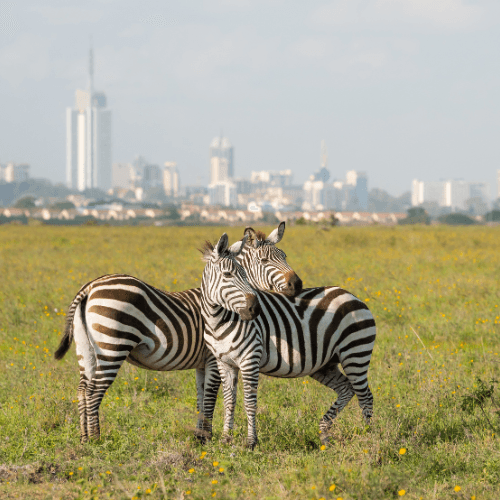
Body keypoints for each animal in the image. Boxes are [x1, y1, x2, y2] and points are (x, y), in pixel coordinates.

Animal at [54, 224, 300, 443]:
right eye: (265, 261)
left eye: (285, 256)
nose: (297, 284)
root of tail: (90, 287)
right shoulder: (213, 358)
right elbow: (210, 397)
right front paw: (207, 437)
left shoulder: (202, 363)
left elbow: (201, 398)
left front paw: (200, 436)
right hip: (112, 346)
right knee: (94, 391)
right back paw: (96, 439)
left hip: (86, 349)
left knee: (82, 389)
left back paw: (84, 438)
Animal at [201, 241, 377, 449]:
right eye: (227, 275)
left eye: (244, 274)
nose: (255, 309)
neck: (218, 321)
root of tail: (352, 296)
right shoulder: (224, 363)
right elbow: (229, 401)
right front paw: (226, 439)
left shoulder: (249, 359)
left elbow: (249, 402)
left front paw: (251, 442)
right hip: (325, 364)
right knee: (346, 389)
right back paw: (324, 434)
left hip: (355, 353)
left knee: (365, 396)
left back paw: (368, 437)